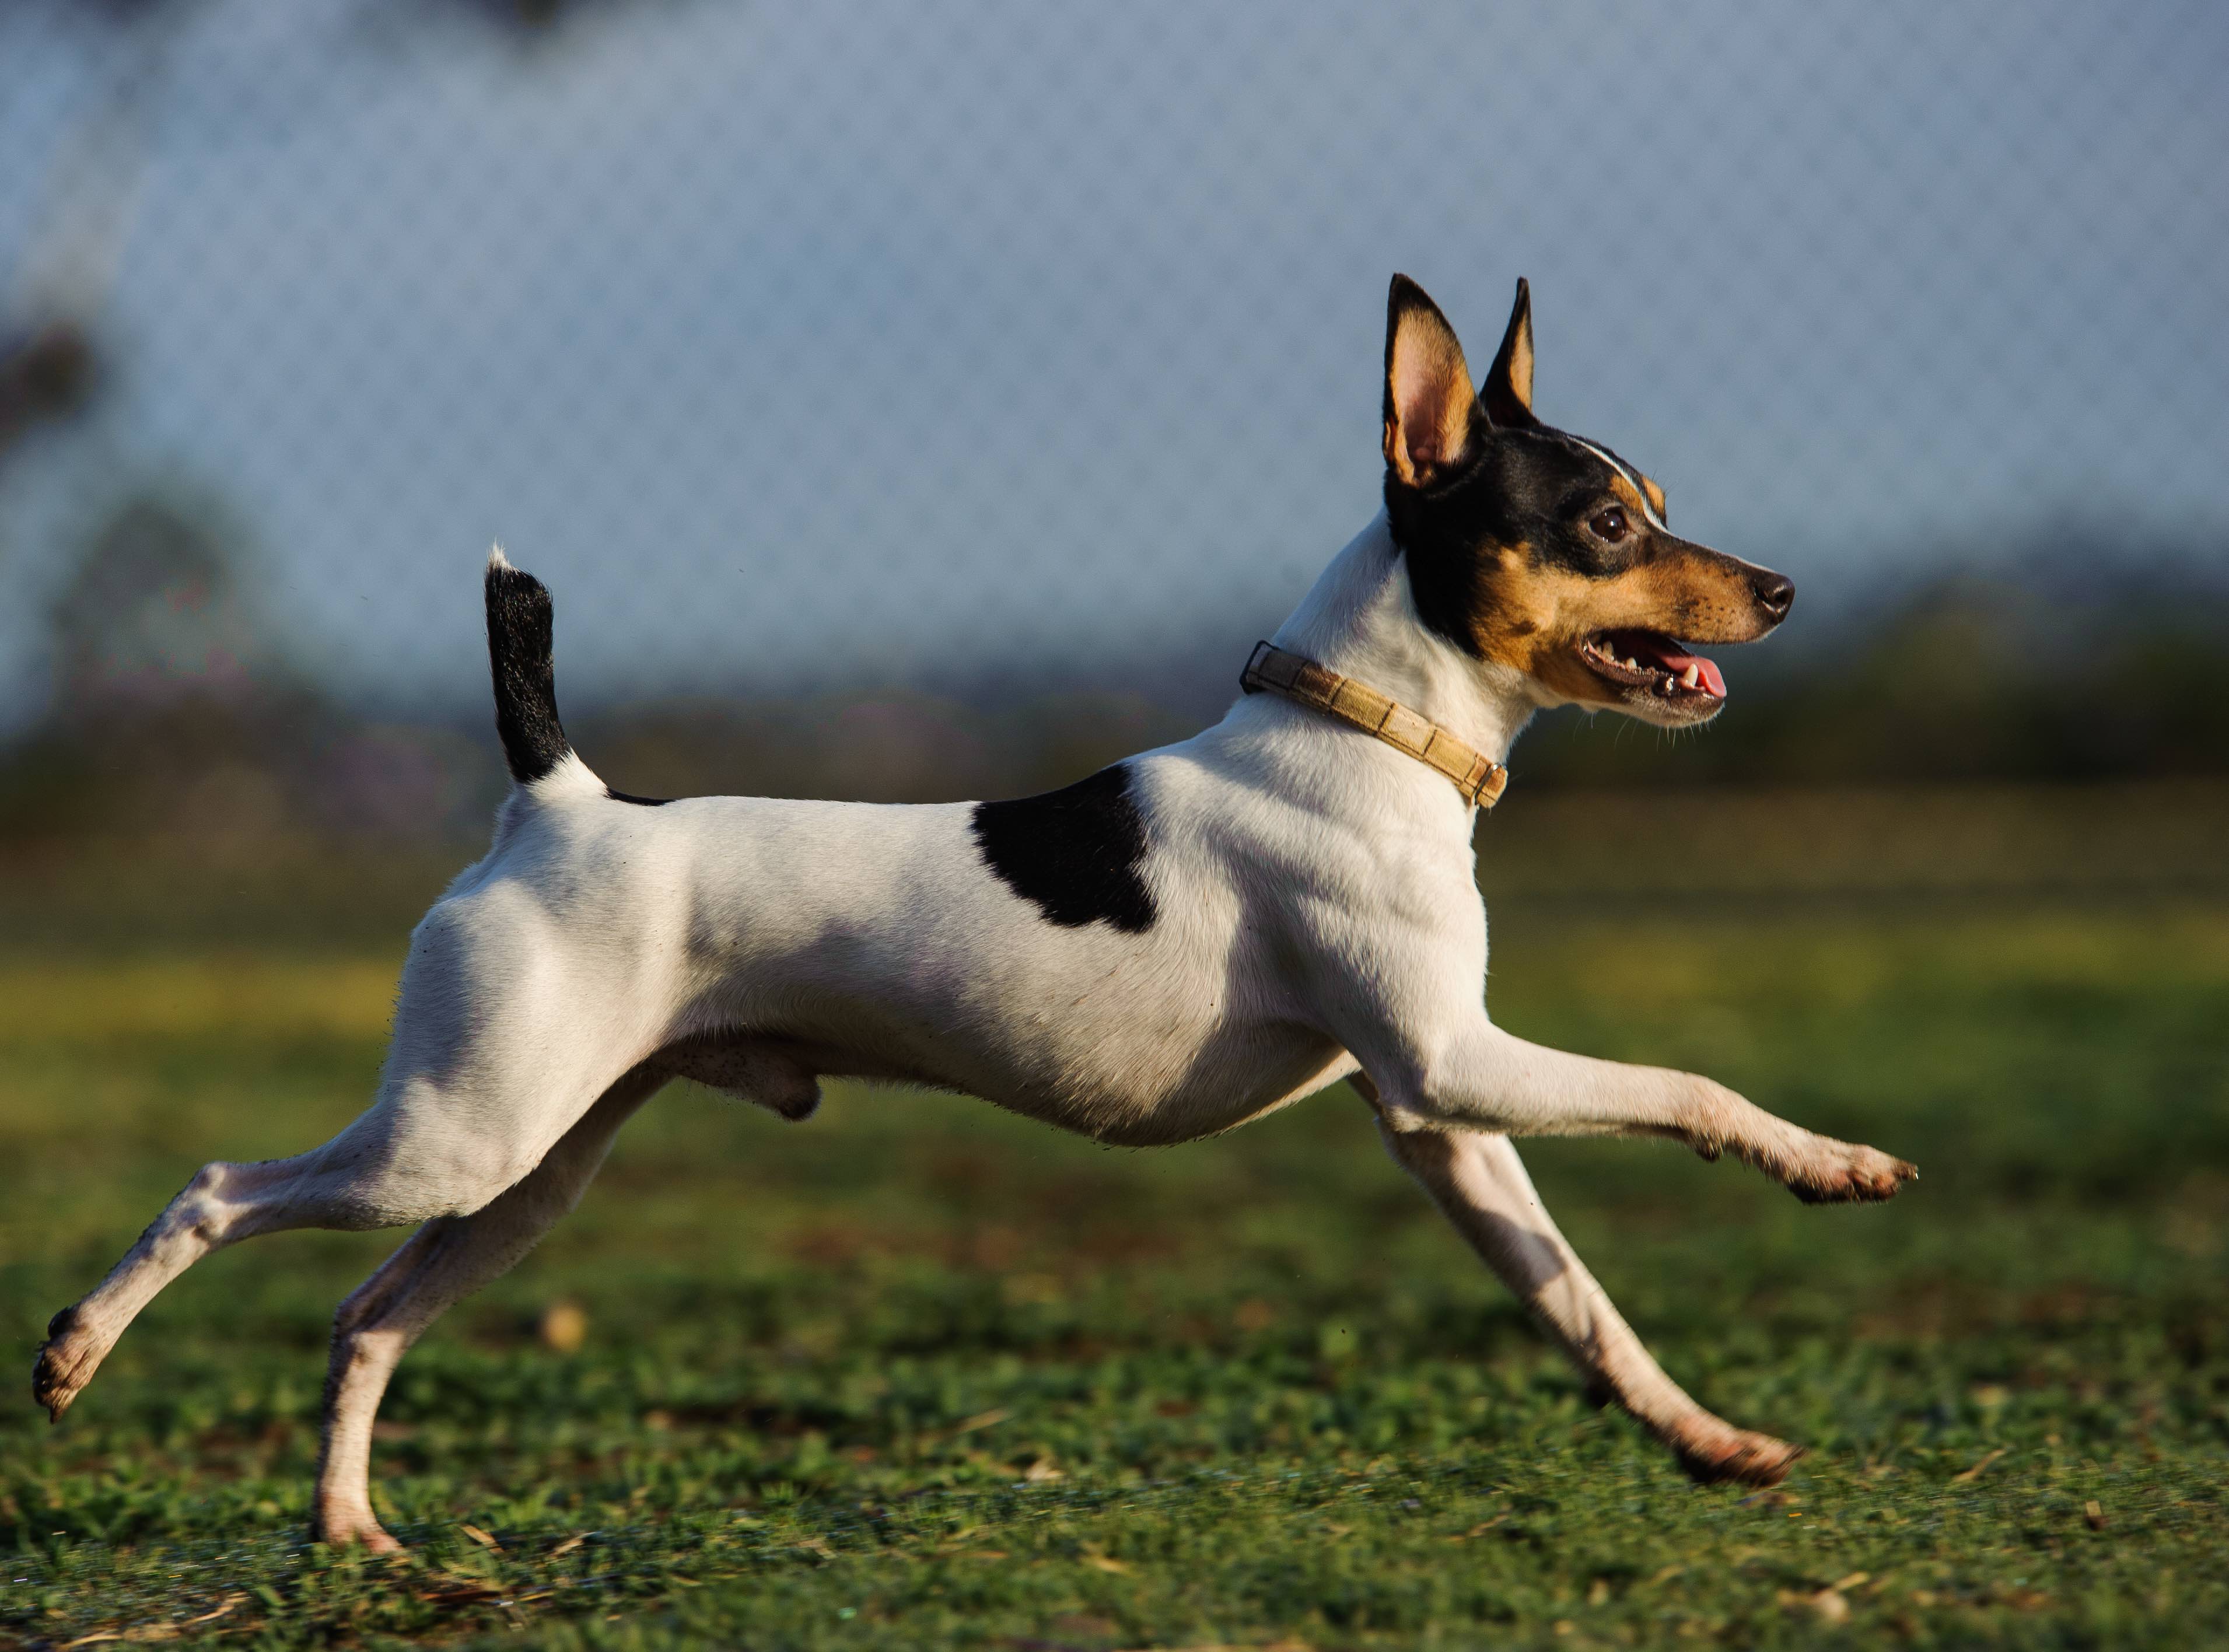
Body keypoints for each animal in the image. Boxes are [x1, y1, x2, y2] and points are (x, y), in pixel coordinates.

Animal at [30, 274, 1917, 1542]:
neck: (1362, 733)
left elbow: (1576, 1301)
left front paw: (1702, 1437)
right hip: (453, 1135)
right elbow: (1686, 1089)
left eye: (1651, 506)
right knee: (219, 1191)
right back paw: (73, 1350)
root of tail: (552, 801)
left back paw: (351, 1530)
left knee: (365, 1317)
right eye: (1602, 520)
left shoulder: (1438, 1119)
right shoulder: (1458, 1064)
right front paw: (1828, 1161)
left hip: (527, 1170)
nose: (1780, 589)